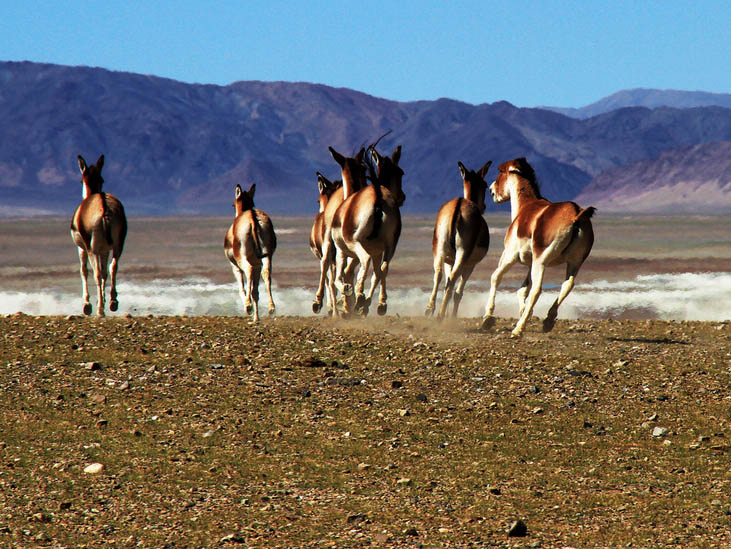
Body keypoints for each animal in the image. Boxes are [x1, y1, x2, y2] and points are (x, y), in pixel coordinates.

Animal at [70, 154, 127, 316]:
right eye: (102, 180)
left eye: (81, 180)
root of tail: (105, 208)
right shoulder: (105, 250)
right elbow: (105, 272)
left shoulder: (82, 248)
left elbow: (84, 271)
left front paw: (87, 305)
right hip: (118, 246)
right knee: (113, 267)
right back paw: (113, 302)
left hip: (92, 249)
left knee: (96, 273)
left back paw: (100, 310)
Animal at [223, 182, 278, 324]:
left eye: (233, 204)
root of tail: (253, 217)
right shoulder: (257, 264)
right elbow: (255, 291)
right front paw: (256, 317)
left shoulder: (234, 266)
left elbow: (242, 287)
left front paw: (249, 309)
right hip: (267, 257)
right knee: (267, 274)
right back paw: (271, 308)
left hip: (242, 258)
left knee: (248, 269)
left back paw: (248, 307)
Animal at [428, 159, 492, 316]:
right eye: (485, 184)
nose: (484, 206)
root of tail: (458, 207)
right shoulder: (470, 265)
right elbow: (458, 293)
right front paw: (452, 316)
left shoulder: (449, 260)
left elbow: (446, 284)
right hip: (462, 255)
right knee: (452, 280)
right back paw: (440, 316)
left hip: (439, 251)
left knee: (438, 275)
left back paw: (430, 310)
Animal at [480, 158, 596, 336]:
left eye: (501, 172)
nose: (492, 190)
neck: (525, 207)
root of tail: (576, 215)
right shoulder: (530, 263)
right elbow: (522, 289)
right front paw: (525, 312)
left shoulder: (510, 256)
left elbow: (496, 277)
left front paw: (487, 318)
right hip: (574, 263)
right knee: (567, 285)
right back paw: (548, 320)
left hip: (541, 262)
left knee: (537, 290)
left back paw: (518, 329)